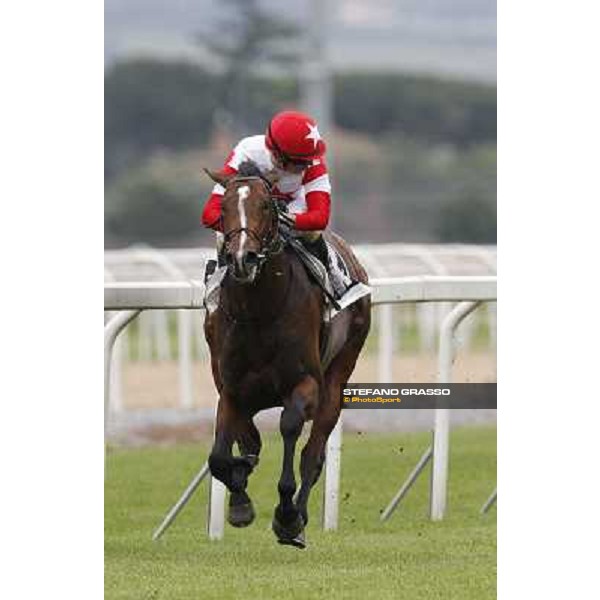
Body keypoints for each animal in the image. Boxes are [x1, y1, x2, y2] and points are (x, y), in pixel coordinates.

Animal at [203, 161, 370, 548]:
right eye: (223, 209)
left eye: (266, 206)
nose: (242, 258)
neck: (259, 311)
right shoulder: (230, 388)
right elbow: (222, 454)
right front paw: (240, 498)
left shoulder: (305, 384)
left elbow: (290, 428)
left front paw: (287, 516)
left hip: (338, 377)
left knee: (313, 453)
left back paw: (298, 516)